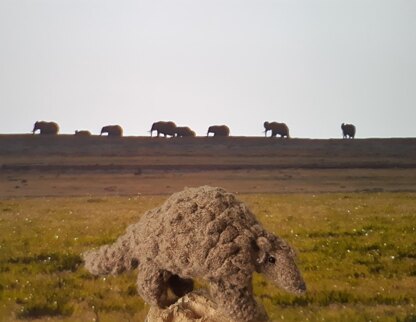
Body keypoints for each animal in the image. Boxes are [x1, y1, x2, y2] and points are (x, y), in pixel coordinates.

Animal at [84, 185, 306, 320]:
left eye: (293, 258)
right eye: (272, 259)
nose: (301, 287)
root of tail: (138, 230)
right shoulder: (226, 271)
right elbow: (233, 298)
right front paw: (249, 314)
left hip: (174, 260)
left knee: (174, 277)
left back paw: (183, 291)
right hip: (154, 257)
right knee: (149, 281)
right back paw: (161, 303)